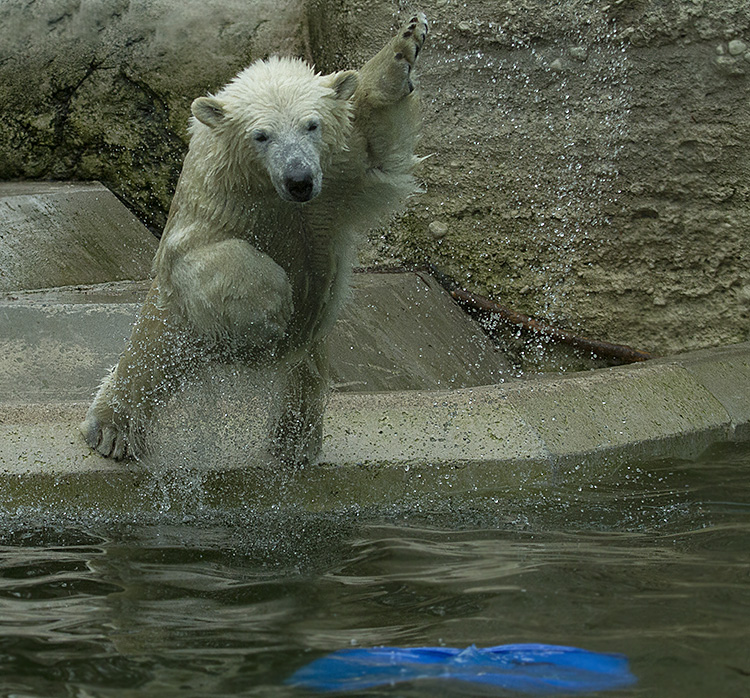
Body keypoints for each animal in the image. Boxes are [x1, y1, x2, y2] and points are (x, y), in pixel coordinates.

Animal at [81, 12, 428, 462]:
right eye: (261, 135)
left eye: (311, 125)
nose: (299, 179)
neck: (266, 187)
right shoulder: (218, 199)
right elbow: (202, 254)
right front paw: (274, 308)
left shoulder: (337, 175)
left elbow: (378, 144)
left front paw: (406, 43)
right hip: (176, 321)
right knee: (148, 357)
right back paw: (111, 430)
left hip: (304, 348)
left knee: (302, 374)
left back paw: (293, 441)